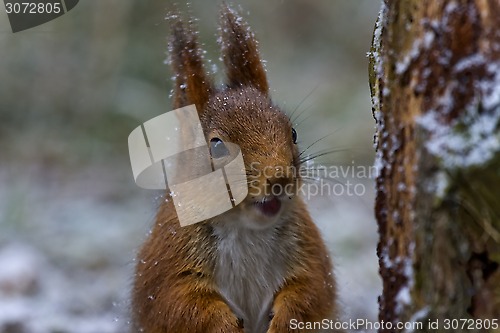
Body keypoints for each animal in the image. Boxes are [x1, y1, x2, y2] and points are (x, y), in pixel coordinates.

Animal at [131, 5, 338, 332]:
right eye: (216, 146)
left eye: (292, 132)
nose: (280, 179)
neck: (244, 228)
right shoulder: (167, 260)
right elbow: (177, 303)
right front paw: (224, 324)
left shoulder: (309, 250)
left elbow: (312, 290)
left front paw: (284, 320)